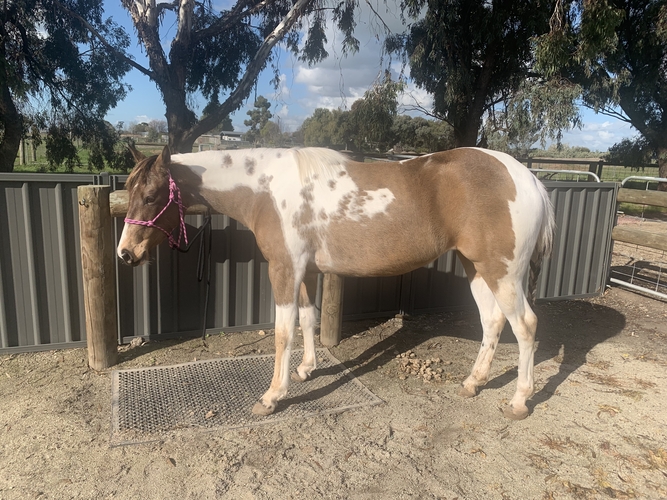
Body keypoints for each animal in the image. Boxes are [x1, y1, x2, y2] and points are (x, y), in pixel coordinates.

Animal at [117, 145, 555, 420]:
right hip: (477, 267)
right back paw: (473, 382)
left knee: (526, 326)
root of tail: (529, 179)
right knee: (492, 322)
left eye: (152, 195)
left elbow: (283, 333)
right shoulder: (307, 272)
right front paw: (307, 369)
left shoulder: (285, 269)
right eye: (129, 190)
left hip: (503, 272)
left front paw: (272, 396)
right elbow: (308, 319)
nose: (125, 253)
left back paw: (519, 401)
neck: (266, 190)